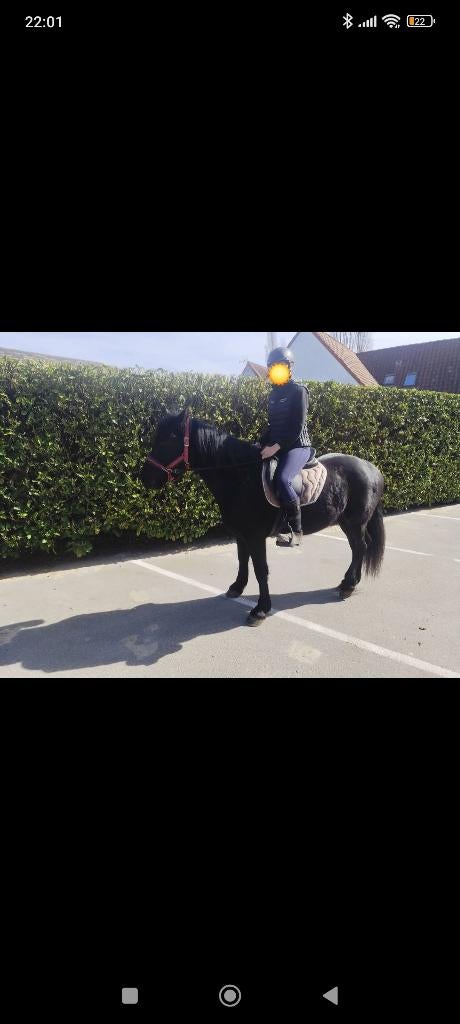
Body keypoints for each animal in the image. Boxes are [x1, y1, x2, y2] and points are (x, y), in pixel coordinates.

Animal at [139, 408, 385, 626]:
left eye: (169, 439)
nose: (145, 477)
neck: (241, 477)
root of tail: (372, 468)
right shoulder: (240, 535)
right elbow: (242, 561)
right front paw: (237, 588)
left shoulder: (255, 537)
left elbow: (261, 569)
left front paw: (260, 610)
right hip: (347, 522)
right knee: (357, 548)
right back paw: (347, 583)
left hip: (355, 522)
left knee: (360, 547)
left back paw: (348, 586)